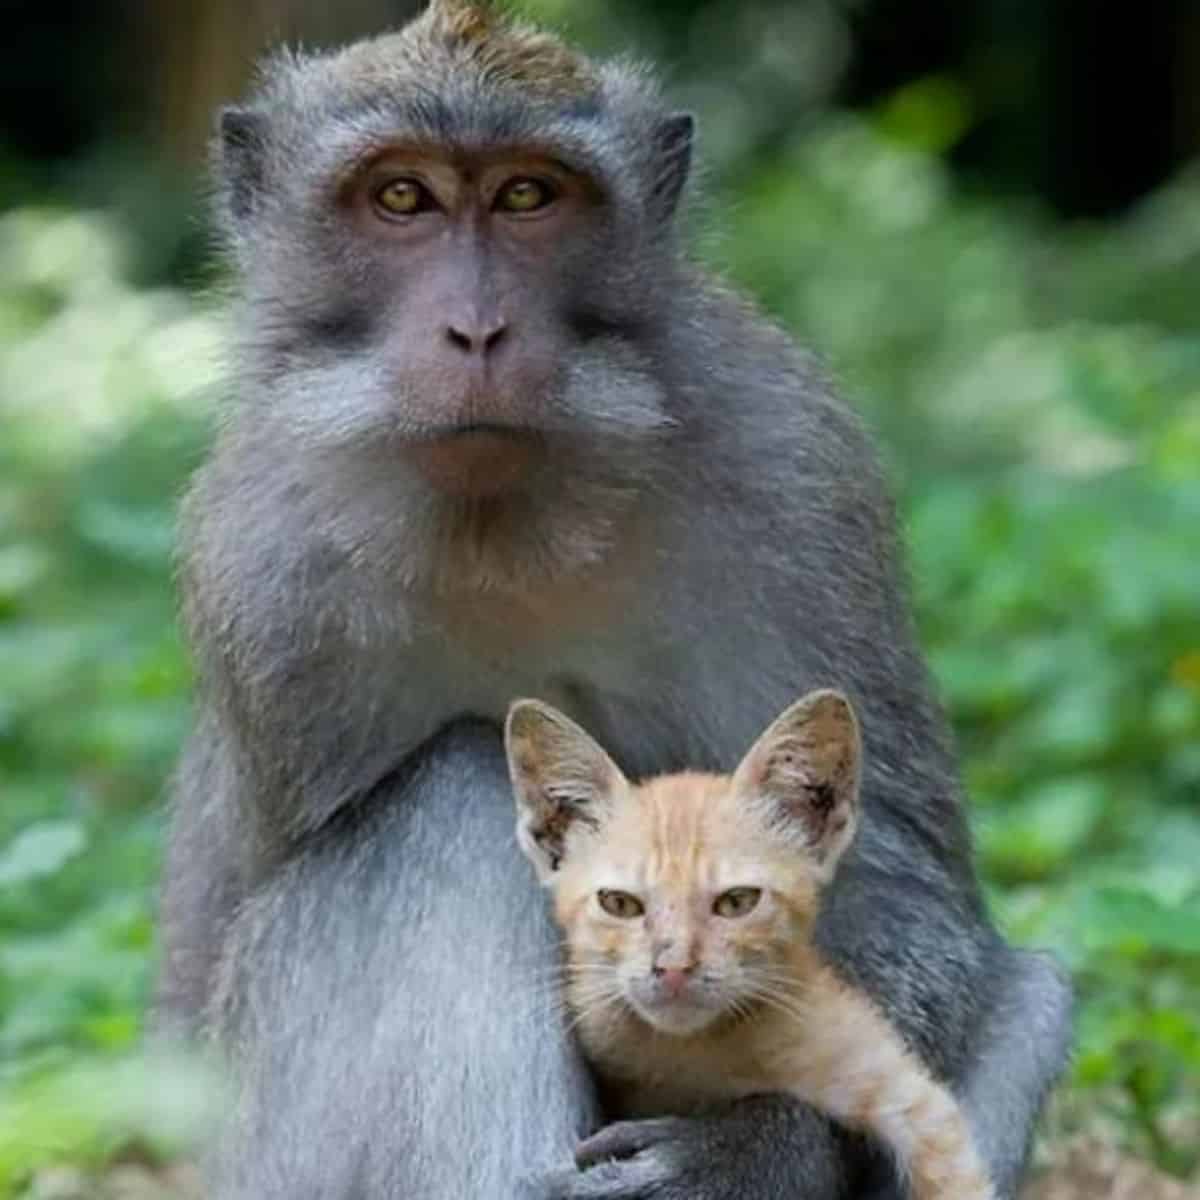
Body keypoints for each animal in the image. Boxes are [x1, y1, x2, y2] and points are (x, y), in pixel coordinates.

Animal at [504, 691, 993, 1200]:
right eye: (619, 903)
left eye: (737, 901)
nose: (673, 967)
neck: (691, 1054)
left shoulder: (909, 1095)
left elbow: (950, 1172)